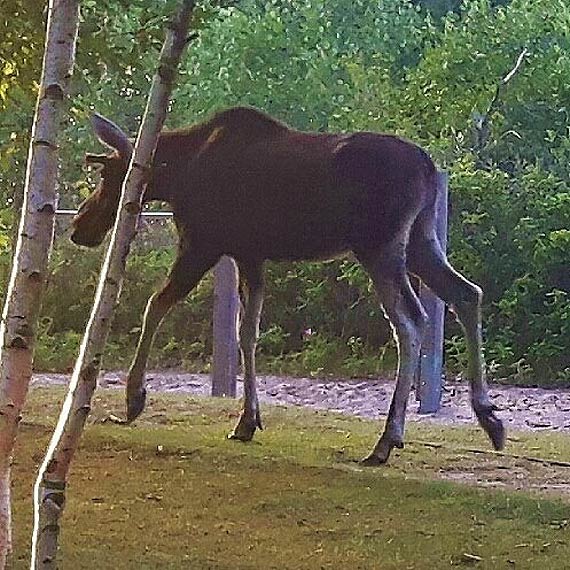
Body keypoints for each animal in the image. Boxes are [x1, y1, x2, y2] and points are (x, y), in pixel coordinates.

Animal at [71, 105, 502, 462]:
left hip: (380, 247)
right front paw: (247, 420)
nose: (80, 225)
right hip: (420, 240)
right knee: (467, 293)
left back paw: (388, 438)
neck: (174, 172)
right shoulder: (249, 256)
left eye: (108, 174)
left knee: (411, 321)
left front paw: (134, 397)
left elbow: (155, 305)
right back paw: (489, 417)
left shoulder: (201, 245)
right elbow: (247, 333)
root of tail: (429, 170)